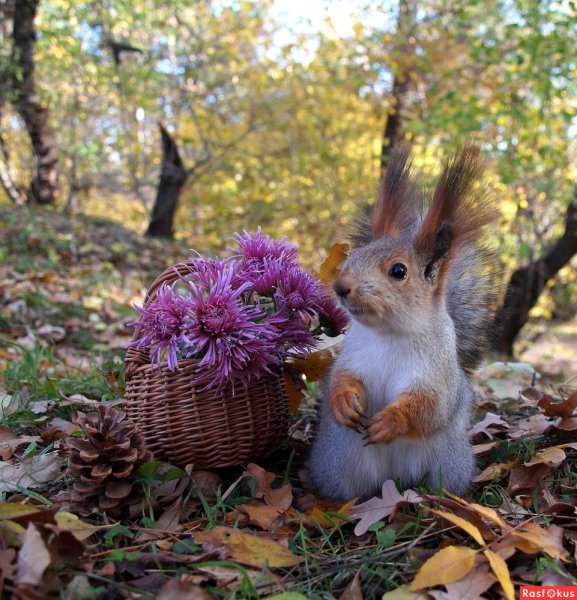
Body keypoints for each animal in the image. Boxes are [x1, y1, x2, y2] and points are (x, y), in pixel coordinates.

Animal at [306, 144, 500, 496]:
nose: (340, 287)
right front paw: (344, 402)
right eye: (352, 257)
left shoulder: (437, 376)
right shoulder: (352, 356)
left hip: (445, 466)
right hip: (338, 467)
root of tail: (391, 479)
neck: (390, 334)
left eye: (398, 271)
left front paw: (390, 422)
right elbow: (339, 379)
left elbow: (428, 407)